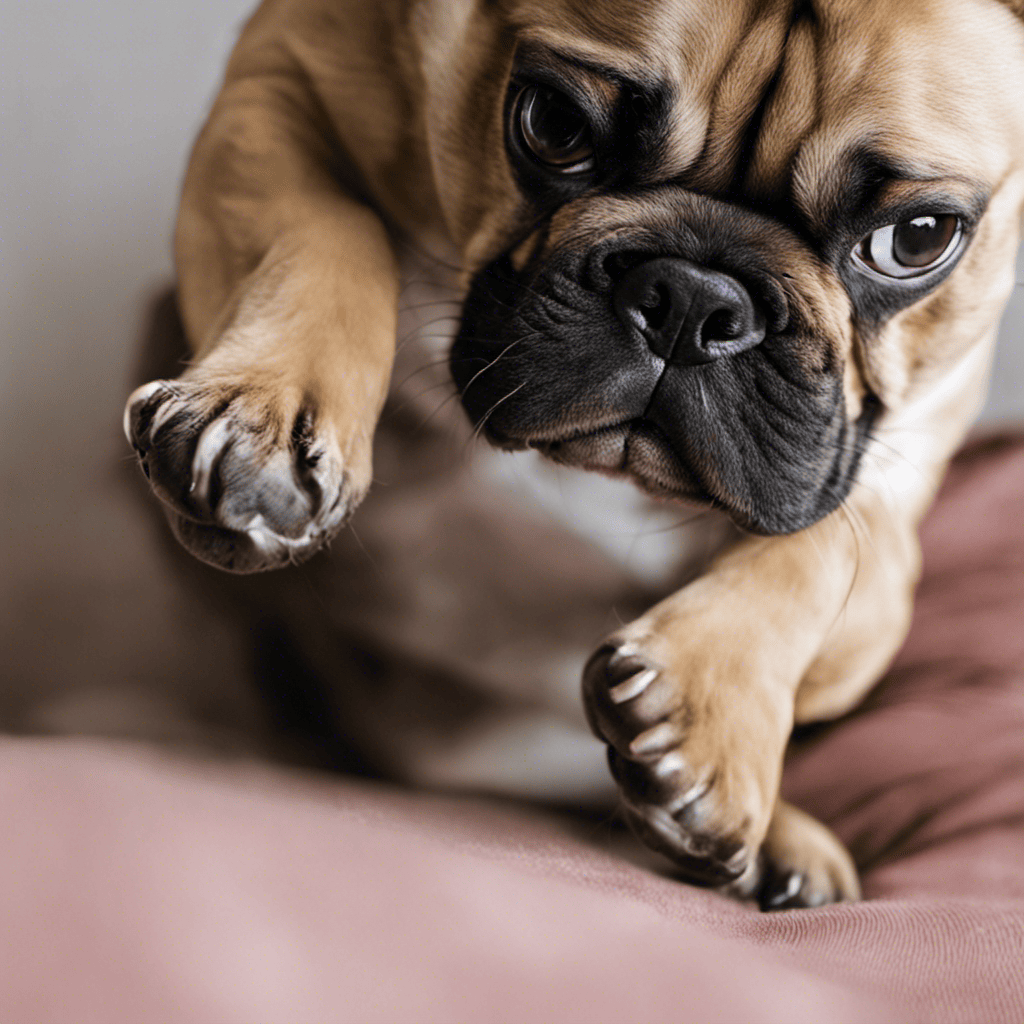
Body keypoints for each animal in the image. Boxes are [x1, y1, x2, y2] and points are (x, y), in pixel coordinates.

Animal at [123, 0, 1024, 913]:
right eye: (553, 124)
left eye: (918, 239)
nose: (692, 301)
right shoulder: (279, 86)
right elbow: (327, 231)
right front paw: (270, 413)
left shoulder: (889, 504)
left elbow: (825, 548)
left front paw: (708, 706)